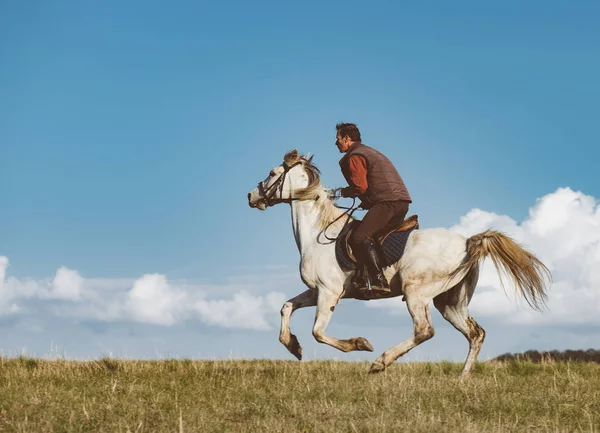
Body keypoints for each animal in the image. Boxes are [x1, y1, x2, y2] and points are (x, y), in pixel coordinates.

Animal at [246, 148, 552, 374]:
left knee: (424, 331)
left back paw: (380, 361)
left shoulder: (329, 293)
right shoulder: (316, 290)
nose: (251, 196)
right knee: (475, 333)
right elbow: (286, 307)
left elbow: (318, 332)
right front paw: (292, 346)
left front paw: (360, 343)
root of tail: (467, 242)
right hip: (450, 301)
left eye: (272, 173)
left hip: (416, 292)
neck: (318, 231)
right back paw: (463, 378)